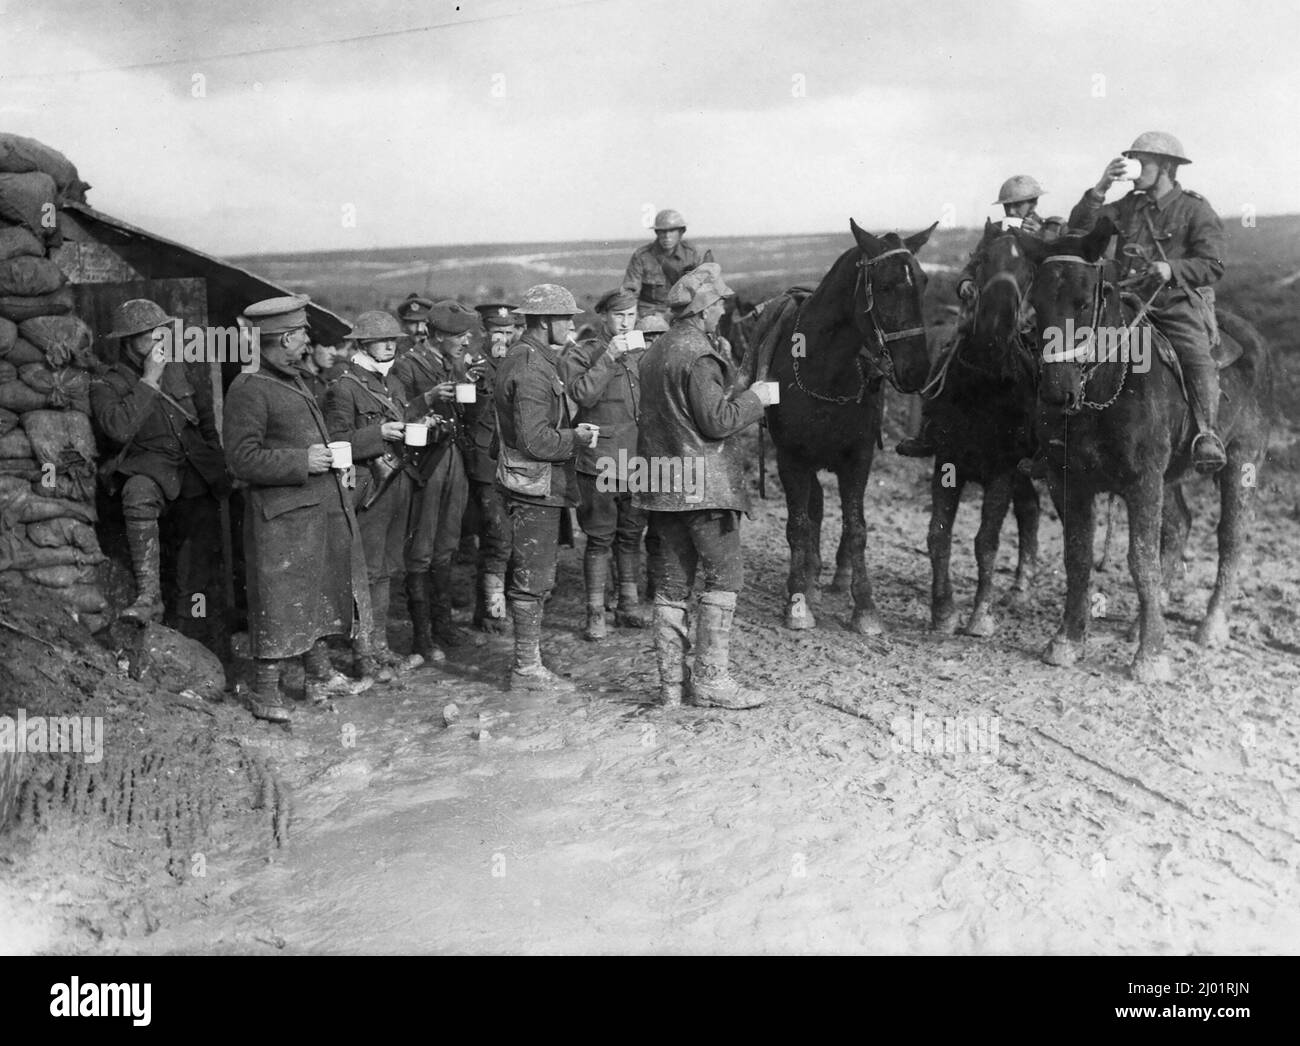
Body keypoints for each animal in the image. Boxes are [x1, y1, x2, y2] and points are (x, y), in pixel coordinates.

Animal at [748, 215, 941, 631]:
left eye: (923, 281)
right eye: (885, 286)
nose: (917, 370)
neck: (823, 370)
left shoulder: (858, 457)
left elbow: (857, 528)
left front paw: (864, 606)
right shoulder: (791, 458)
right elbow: (799, 524)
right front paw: (798, 601)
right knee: (813, 509)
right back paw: (810, 576)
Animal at [930, 223, 1040, 631]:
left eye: (1029, 272)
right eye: (982, 260)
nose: (997, 321)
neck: (985, 384)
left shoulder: (1001, 472)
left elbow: (987, 541)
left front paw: (980, 617)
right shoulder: (947, 463)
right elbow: (938, 534)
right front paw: (944, 611)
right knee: (1031, 508)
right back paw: (1020, 588)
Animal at [1013, 215, 1268, 680]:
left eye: (1084, 302)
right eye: (1036, 304)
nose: (1057, 393)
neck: (1105, 386)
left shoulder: (1143, 481)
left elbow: (1141, 560)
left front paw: (1151, 656)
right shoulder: (1067, 480)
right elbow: (1078, 556)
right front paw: (1067, 640)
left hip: (1241, 466)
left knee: (1230, 539)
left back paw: (1211, 626)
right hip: (1172, 477)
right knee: (1180, 525)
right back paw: (1142, 623)